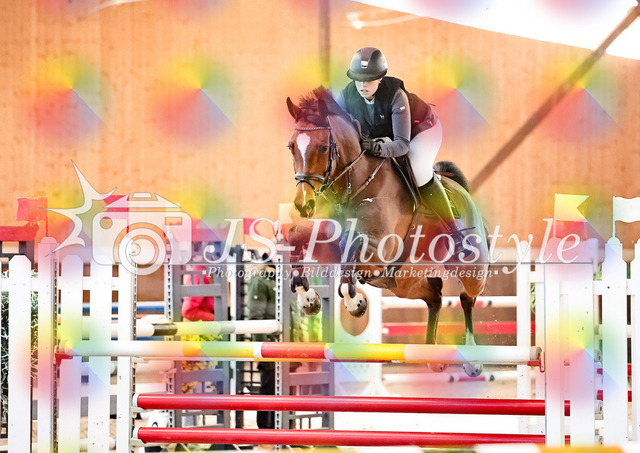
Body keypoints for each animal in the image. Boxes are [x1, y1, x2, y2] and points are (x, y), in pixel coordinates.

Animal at [285, 88, 489, 376]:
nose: (304, 205)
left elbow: (352, 261)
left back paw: (473, 359)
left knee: (467, 296)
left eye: (324, 147)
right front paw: (308, 300)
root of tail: (461, 191)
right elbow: (297, 237)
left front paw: (356, 304)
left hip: (472, 268)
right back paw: (432, 356)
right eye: (291, 147)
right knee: (435, 296)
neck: (354, 183)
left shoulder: (378, 249)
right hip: (404, 281)